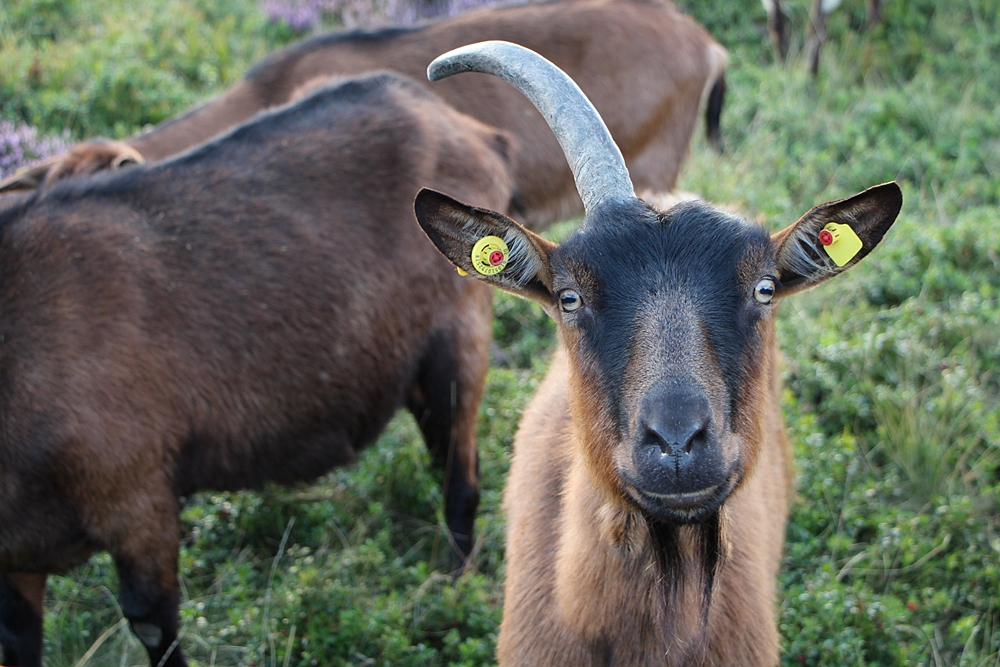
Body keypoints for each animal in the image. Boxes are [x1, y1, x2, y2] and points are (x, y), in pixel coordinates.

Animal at [0, 72, 512, 667]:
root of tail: (471, 131)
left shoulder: (136, 494)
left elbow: (151, 621)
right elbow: (19, 633)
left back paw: (455, 589)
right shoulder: (19, 555)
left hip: (458, 340)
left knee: (461, 482)